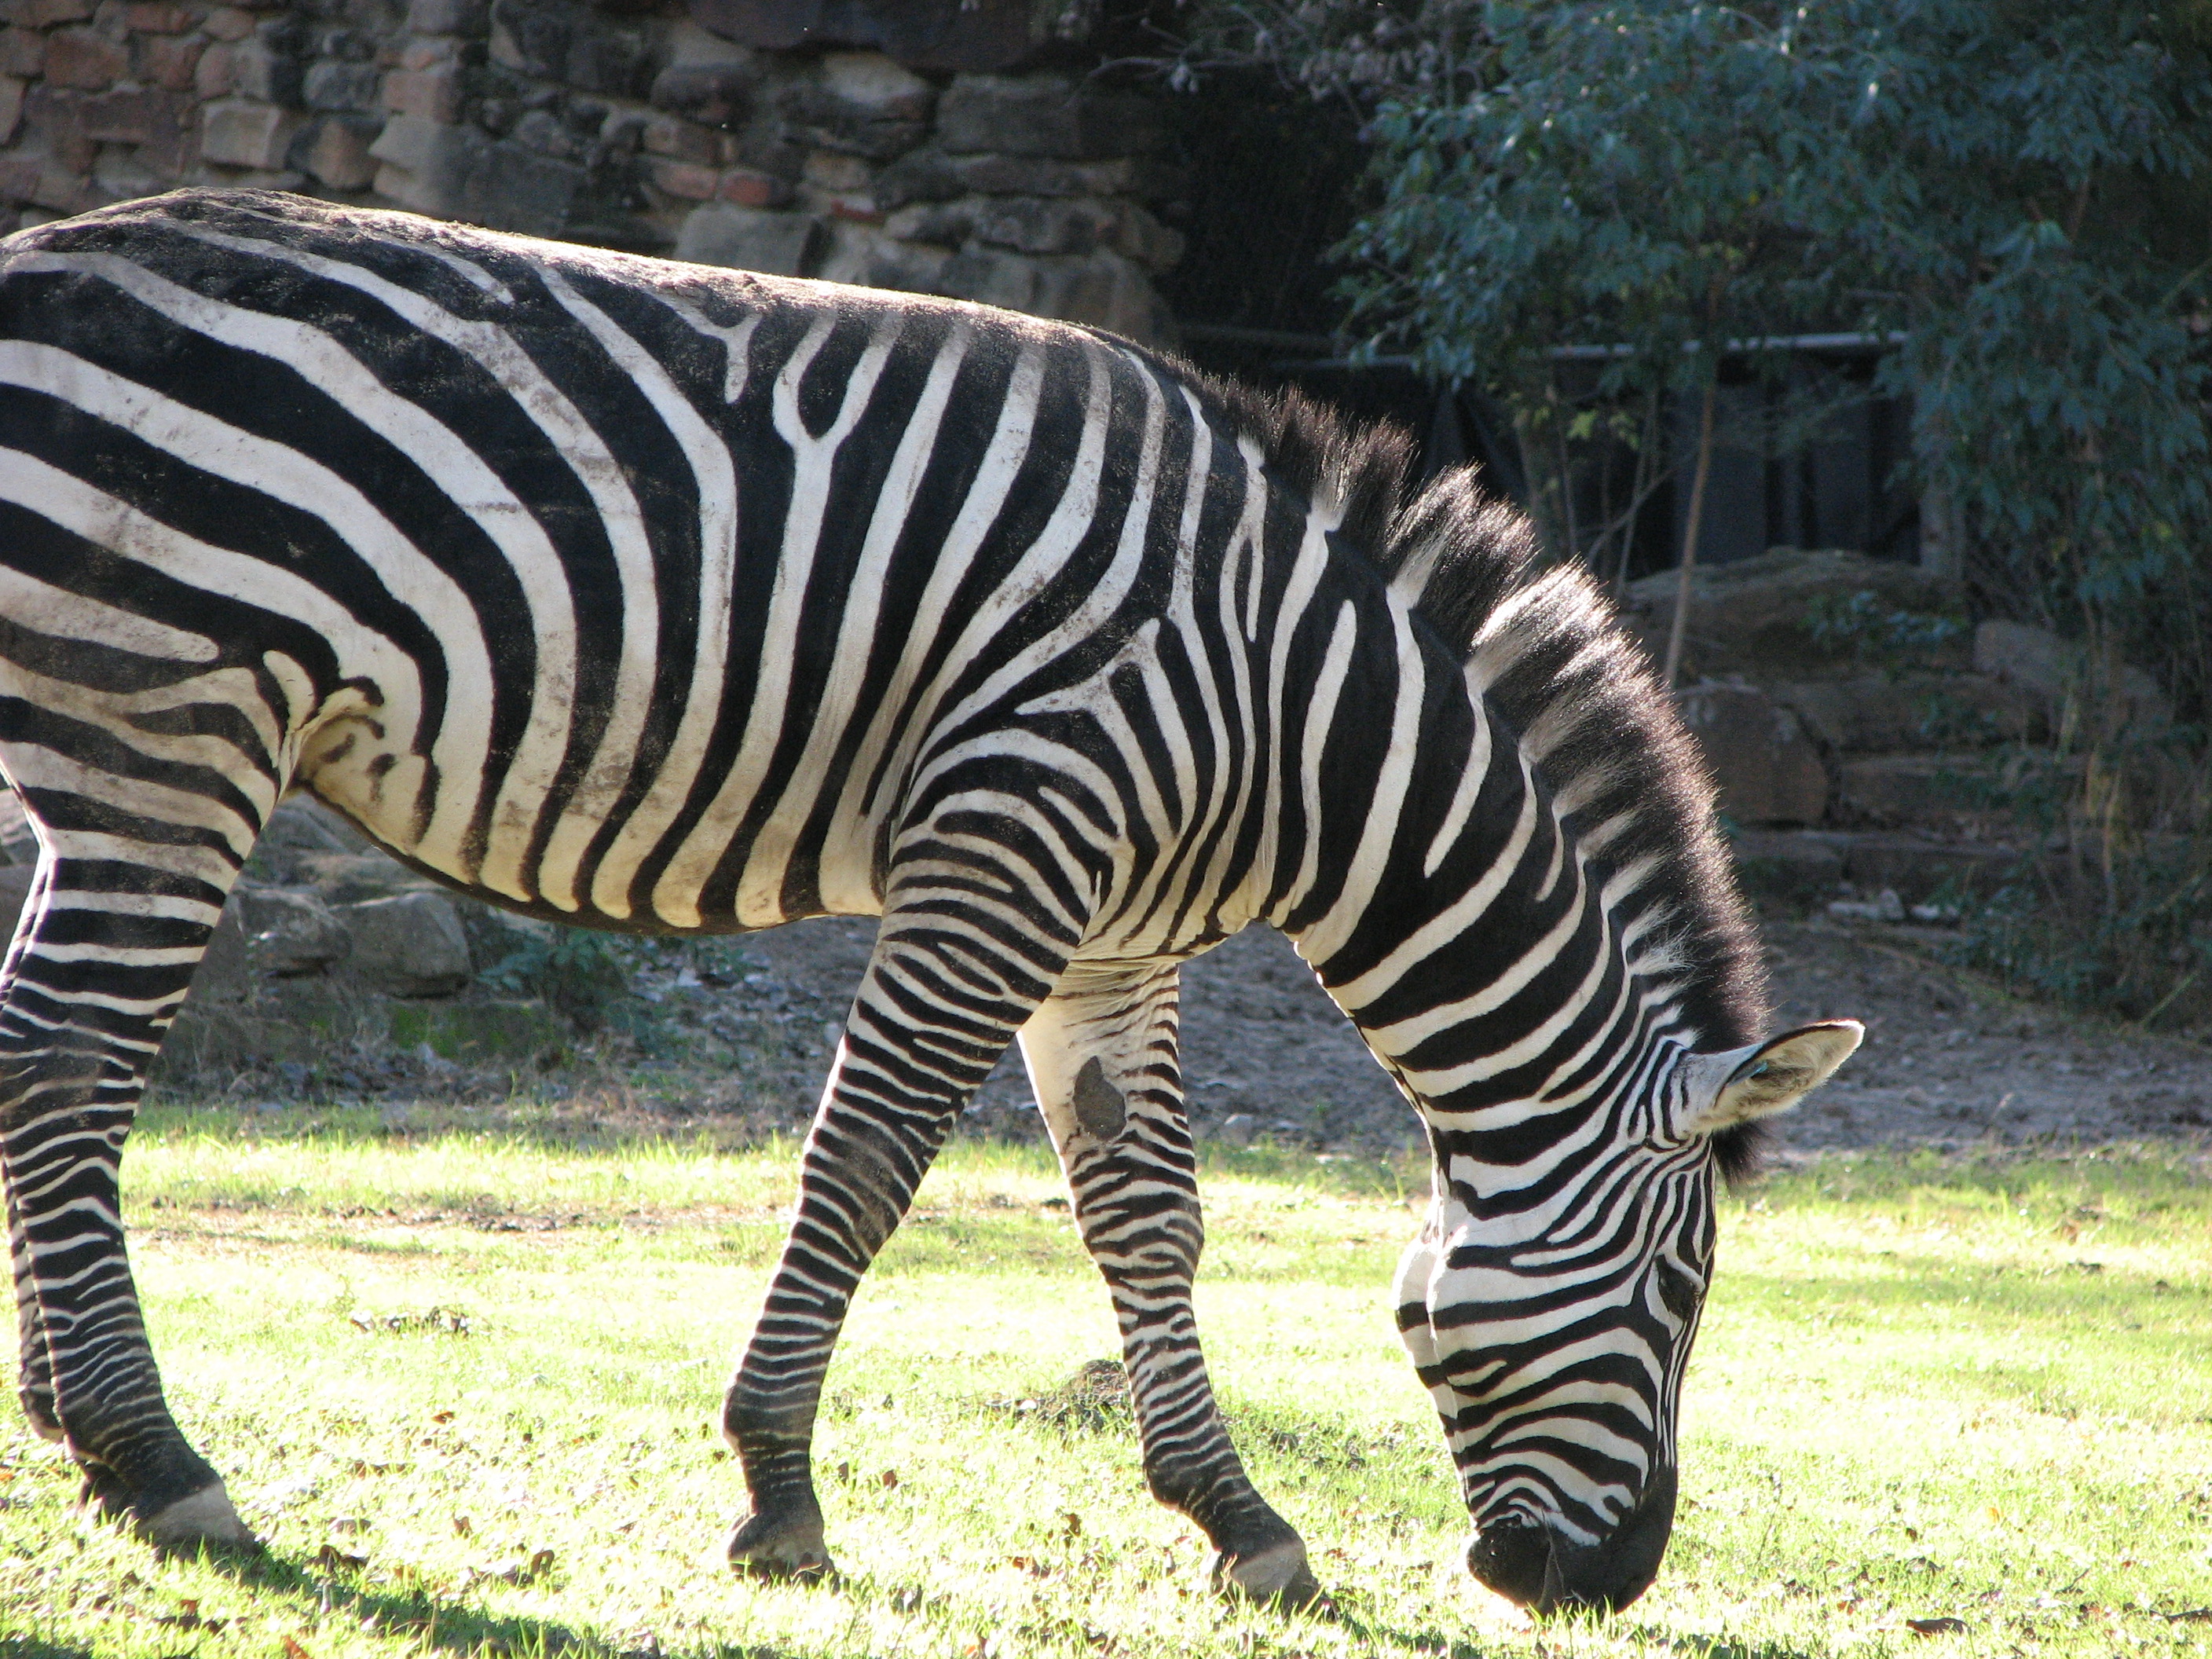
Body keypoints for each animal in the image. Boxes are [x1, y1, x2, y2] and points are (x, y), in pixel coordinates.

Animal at [0, 188, 1866, 1619]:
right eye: (1679, 1300)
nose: (1605, 1587)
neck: (1298, 711)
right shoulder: (1005, 852)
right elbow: (867, 1158)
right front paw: (776, 1492)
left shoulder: (1111, 946)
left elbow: (1146, 1215)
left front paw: (1237, 1522)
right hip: (170, 721)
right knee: (71, 1058)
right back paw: (153, 1458)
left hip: (96, 750)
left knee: (45, 1054)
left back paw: (70, 1423)